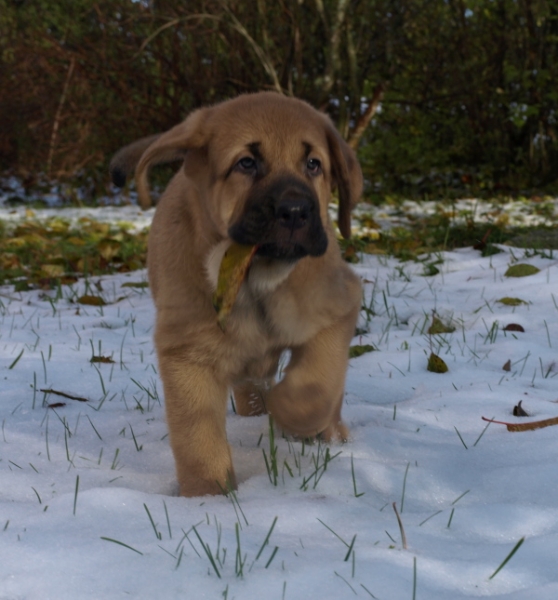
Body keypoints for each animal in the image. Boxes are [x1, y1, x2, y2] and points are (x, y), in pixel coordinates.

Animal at [110, 92, 364, 496]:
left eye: (313, 164)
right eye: (246, 163)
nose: (295, 211)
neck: (253, 282)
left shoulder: (338, 307)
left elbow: (317, 385)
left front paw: (290, 412)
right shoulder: (187, 353)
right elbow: (198, 440)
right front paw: (207, 497)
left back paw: (329, 432)